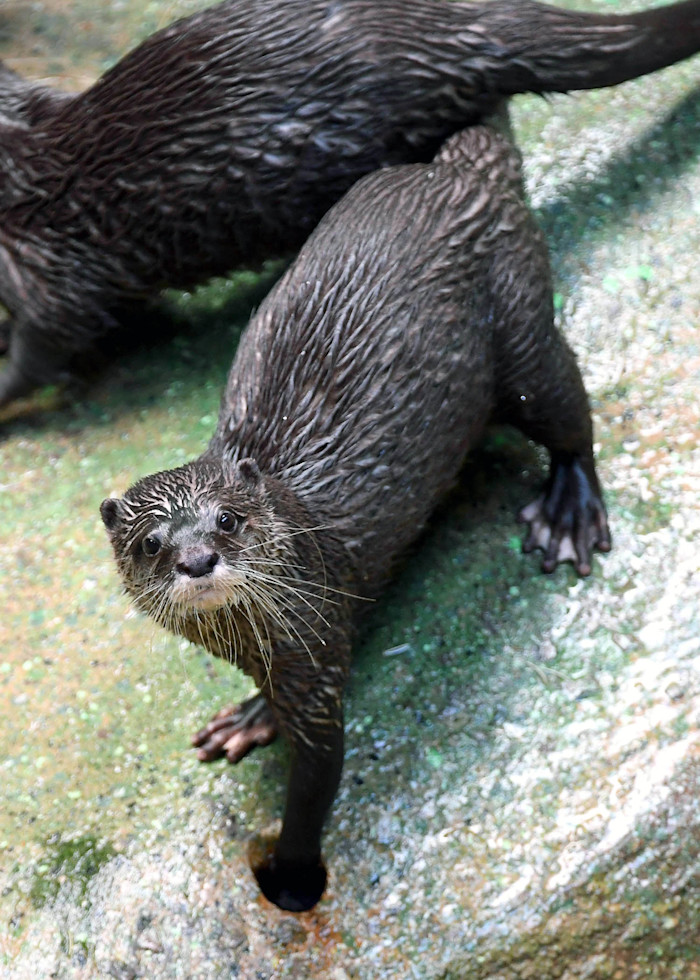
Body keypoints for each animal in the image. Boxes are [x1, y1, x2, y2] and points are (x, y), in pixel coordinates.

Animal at [101, 120, 610, 911]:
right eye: (152, 542)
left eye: (228, 520)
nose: (196, 560)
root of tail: (456, 174)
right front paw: (249, 719)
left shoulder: (311, 653)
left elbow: (316, 782)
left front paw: (291, 883)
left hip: (522, 333)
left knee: (569, 411)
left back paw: (568, 513)